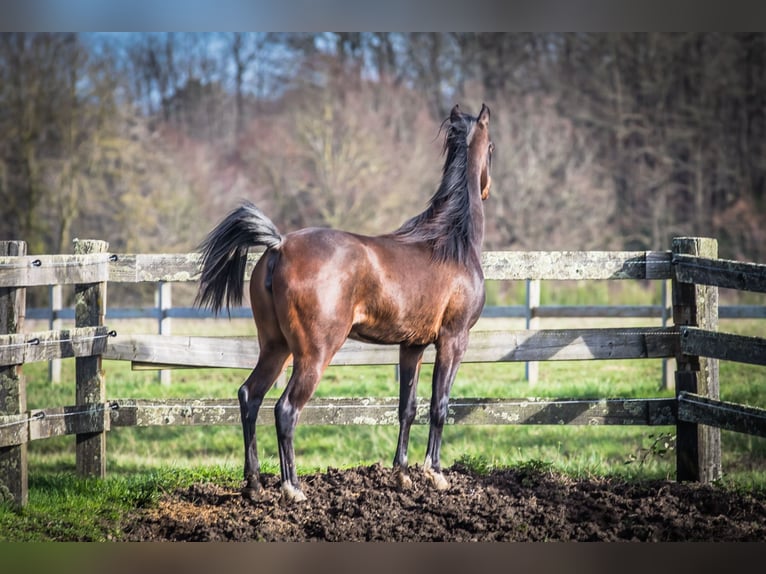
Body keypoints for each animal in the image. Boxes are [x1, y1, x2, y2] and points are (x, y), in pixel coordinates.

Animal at [198, 104, 496, 504]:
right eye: (491, 147)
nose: (487, 188)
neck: (450, 242)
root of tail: (279, 245)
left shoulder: (412, 346)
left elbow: (407, 408)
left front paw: (402, 475)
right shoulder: (453, 339)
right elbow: (439, 405)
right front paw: (435, 474)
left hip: (276, 348)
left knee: (250, 396)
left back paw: (255, 484)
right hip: (315, 354)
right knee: (285, 409)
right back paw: (293, 488)